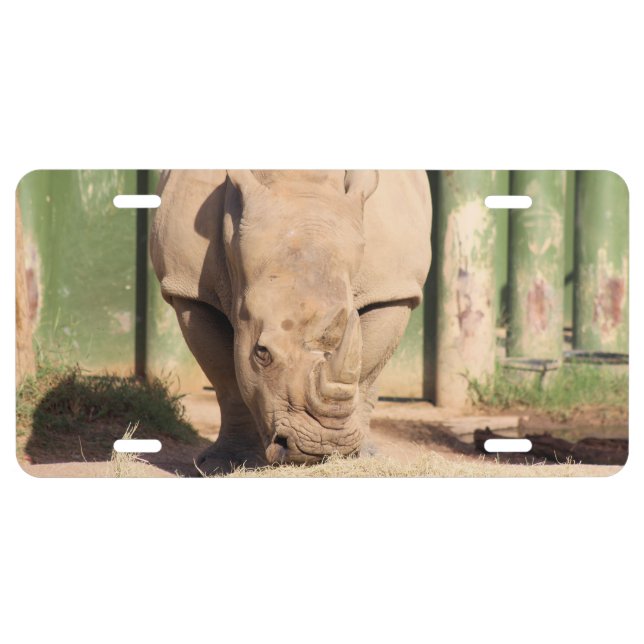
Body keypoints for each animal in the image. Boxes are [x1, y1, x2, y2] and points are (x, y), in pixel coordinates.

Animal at [150, 170, 432, 473]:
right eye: (261, 353)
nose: (320, 448)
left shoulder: (391, 287)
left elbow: (366, 371)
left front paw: (356, 457)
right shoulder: (189, 288)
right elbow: (226, 379)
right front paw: (224, 465)